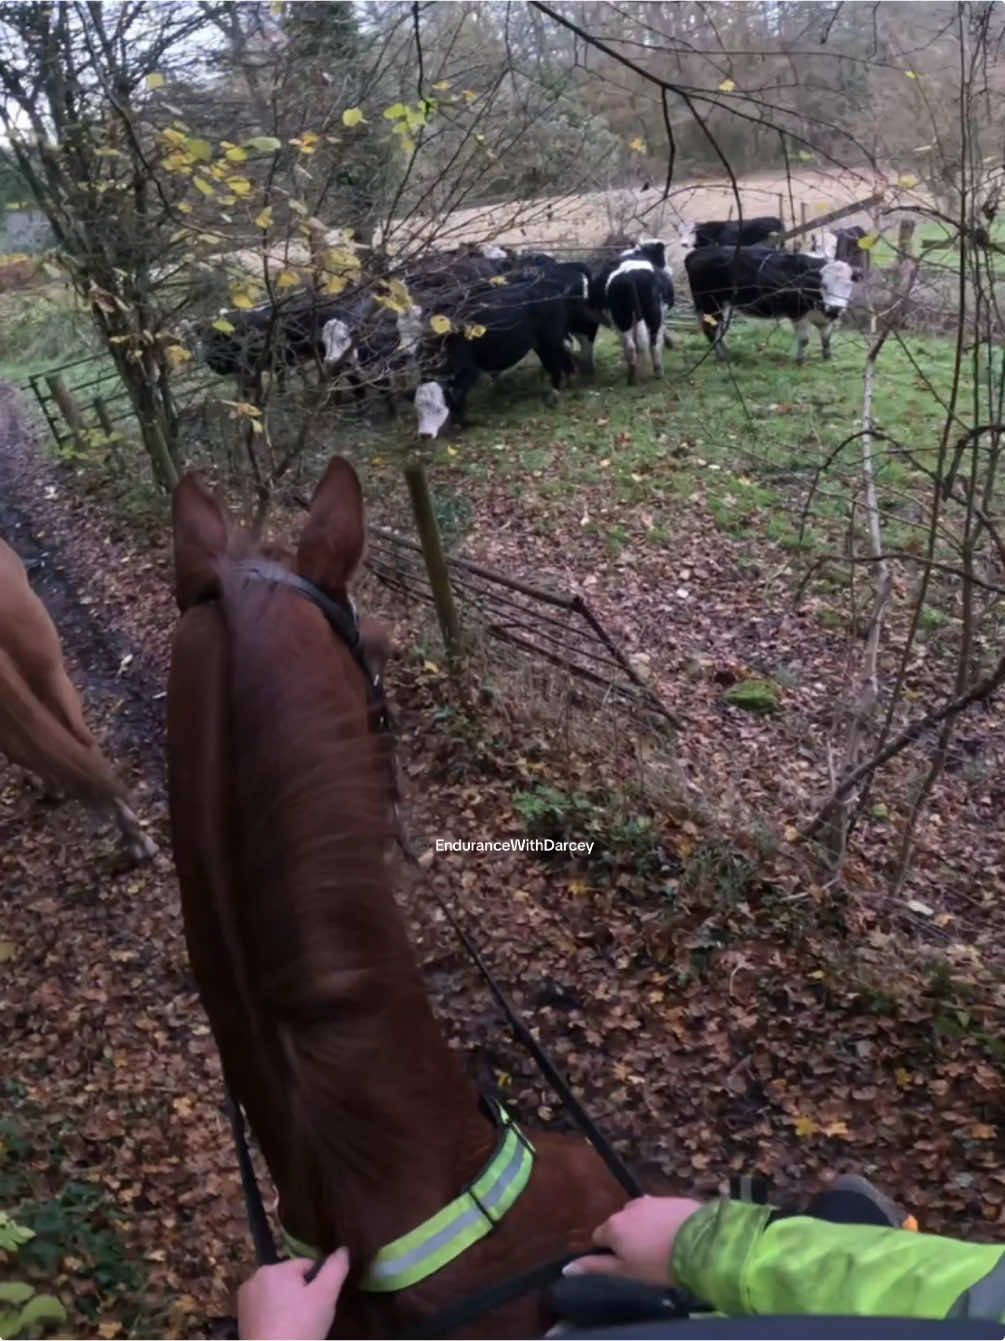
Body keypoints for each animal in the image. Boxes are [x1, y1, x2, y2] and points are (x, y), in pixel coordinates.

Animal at [410, 269, 576, 437]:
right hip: (550, 342)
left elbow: (459, 396)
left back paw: (554, 396)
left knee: (554, 366)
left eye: (438, 409)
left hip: (548, 342)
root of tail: (551, 287)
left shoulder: (468, 370)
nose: (425, 435)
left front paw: (460, 422)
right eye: (418, 409)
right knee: (565, 358)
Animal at [587, 234, 673, 383]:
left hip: (623, 317)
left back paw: (635, 375)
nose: (670, 270)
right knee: (650, 343)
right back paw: (652, 372)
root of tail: (630, 277)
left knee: (634, 345)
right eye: (663, 256)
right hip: (646, 314)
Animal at [686, 244, 858, 362]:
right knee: (711, 329)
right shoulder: (797, 312)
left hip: (724, 304)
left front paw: (827, 357)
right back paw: (721, 357)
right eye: (824, 285)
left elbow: (826, 338)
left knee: (720, 330)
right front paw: (800, 361)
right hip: (710, 303)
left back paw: (727, 352)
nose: (835, 307)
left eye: (848, 285)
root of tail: (696, 253)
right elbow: (804, 340)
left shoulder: (824, 317)